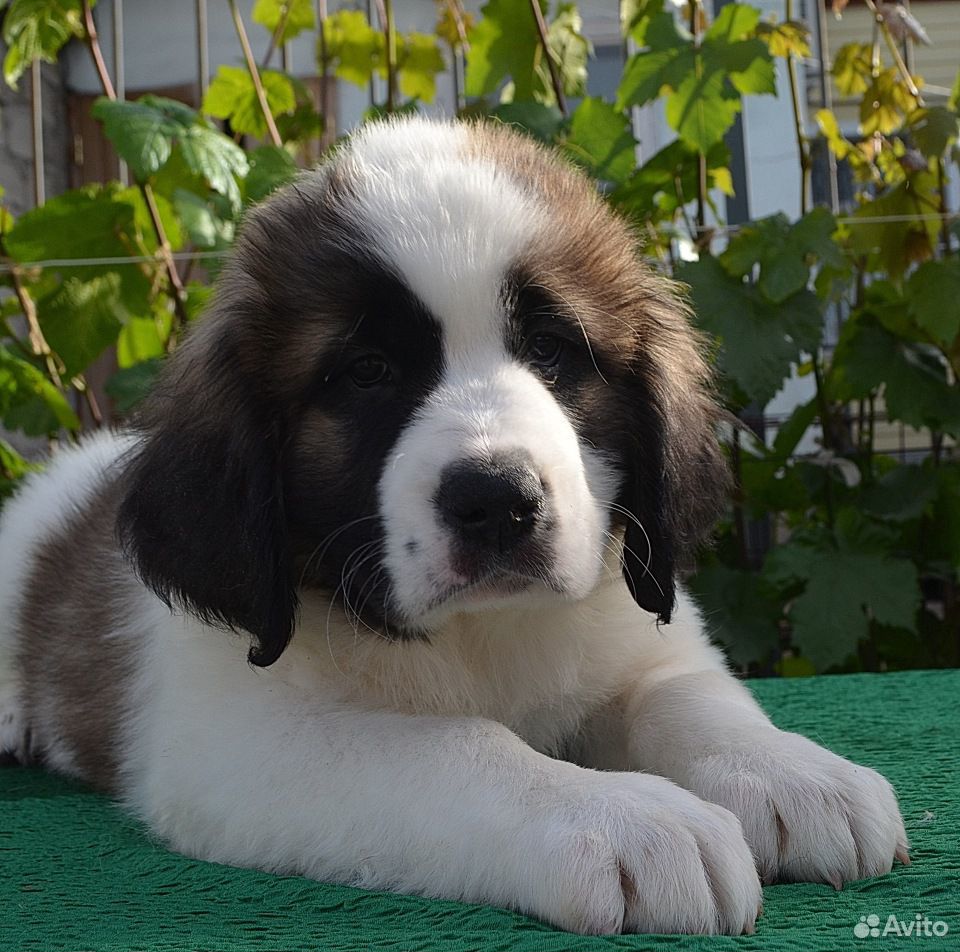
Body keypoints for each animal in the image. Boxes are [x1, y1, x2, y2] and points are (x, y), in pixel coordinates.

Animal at [0, 119, 908, 936]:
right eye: (366, 372)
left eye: (551, 350)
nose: (498, 500)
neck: (484, 636)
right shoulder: (241, 735)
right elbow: (458, 747)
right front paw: (628, 817)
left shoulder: (643, 632)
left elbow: (685, 696)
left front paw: (789, 773)